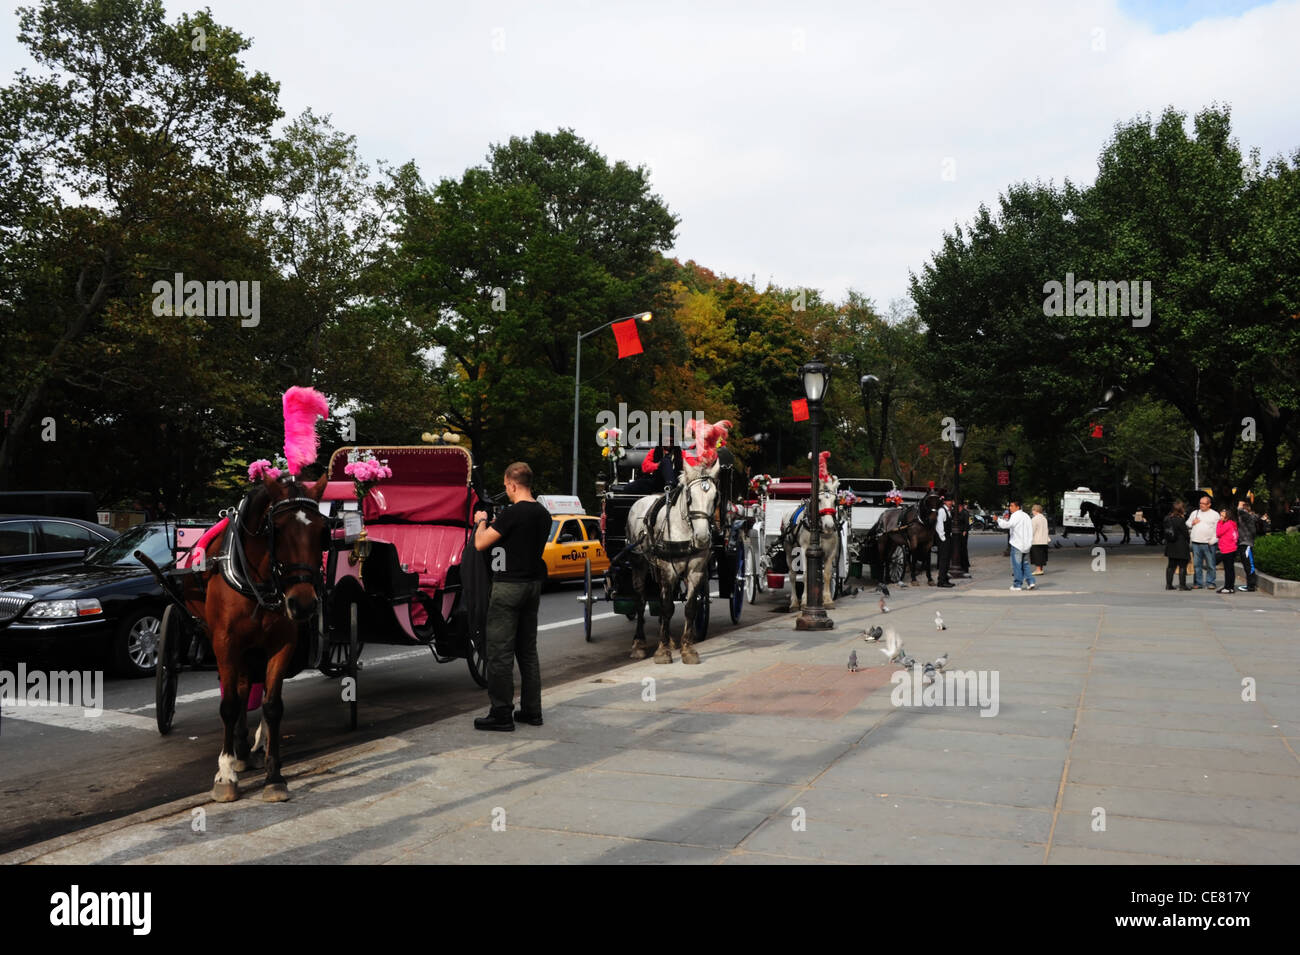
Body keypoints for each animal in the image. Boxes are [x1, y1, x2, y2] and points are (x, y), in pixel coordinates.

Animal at [188, 475, 330, 805]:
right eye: (275, 530)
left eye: (323, 531)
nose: (303, 604)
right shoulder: (225, 642)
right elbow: (229, 705)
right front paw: (225, 774)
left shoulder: (282, 643)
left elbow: (272, 705)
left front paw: (274, 776)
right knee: (238, 692)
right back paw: (238, 754)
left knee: (248, 689)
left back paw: (248, 747)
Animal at [774, 478, 837, 613]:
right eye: (819, 500)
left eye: (835, 500)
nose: (829, 526)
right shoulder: (805, 550)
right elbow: (806, 574)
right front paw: (804, 601)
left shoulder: (831, 552)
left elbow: (827, 574)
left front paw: (827, 600)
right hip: (789, 551)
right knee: (792, 575)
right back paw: (794, 603)